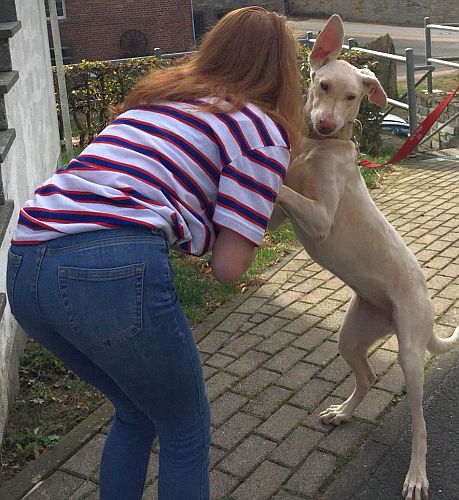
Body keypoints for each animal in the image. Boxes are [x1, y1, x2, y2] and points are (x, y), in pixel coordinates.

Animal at [270, 14, 459, 500]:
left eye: (353, 97)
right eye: (322, 84)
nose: (323, 123)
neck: (320, 148)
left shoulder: (319, 217)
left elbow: (284, 190)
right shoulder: (281, 219)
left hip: (409, 353)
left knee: (420, 422)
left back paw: (416, 474)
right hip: (354, 334)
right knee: (368, 377)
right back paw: (343, 412)